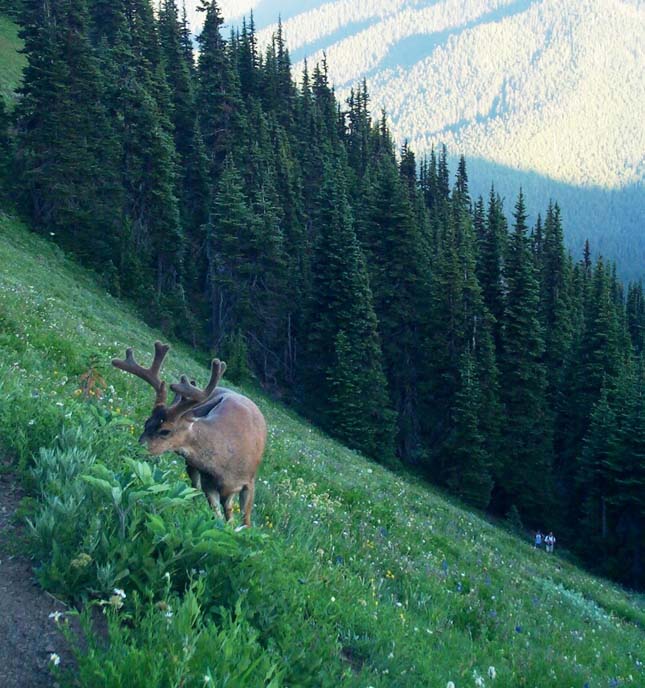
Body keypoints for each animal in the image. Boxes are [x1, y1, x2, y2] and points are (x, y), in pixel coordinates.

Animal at [113, 342, 266, 528]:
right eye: (146, 423)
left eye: (165, 430)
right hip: (192, 467)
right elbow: (218, 516)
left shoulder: (250, 482)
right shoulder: (209, 483)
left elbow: (245, 521)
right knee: (197, 490)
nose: (136, 450)